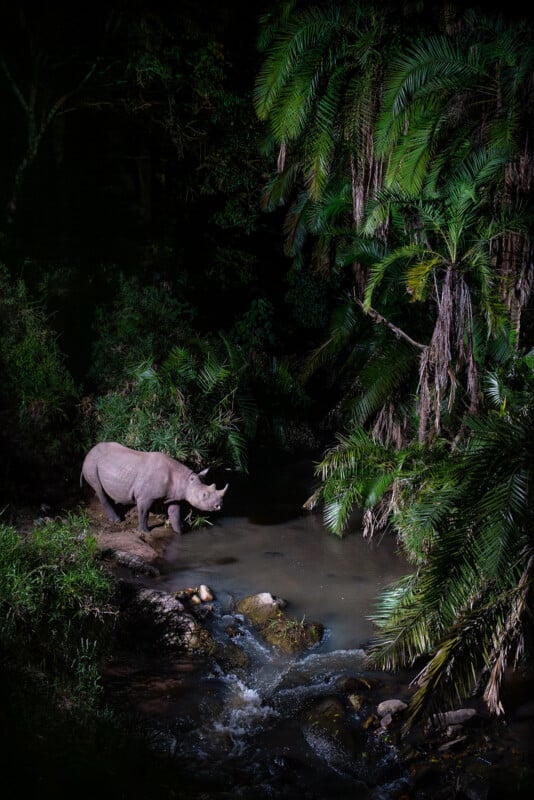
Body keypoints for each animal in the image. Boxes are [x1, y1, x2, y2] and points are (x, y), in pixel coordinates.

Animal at [81, 441, 228, 534]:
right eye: (204, 495)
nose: (219, 506)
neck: (185, 480)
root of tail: (88, 452)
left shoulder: (175, 496)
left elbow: (174, 513)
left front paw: (180, 532)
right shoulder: (145, 497)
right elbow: (144, 512)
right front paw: (144, 531)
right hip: (91, 463)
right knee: (99, 488)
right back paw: (117, 520)